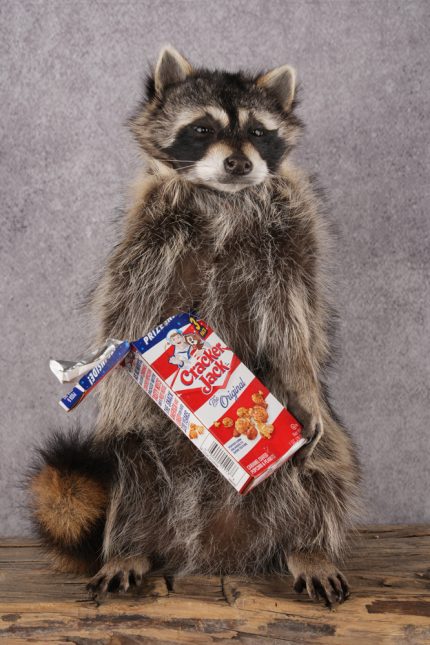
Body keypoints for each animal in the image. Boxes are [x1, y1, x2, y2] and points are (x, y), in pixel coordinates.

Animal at [28, 46, 361, 606]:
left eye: (258, 132)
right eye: (203, 129)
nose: (239, 163)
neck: (222, 195)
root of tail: (215, 547)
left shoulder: (293, 236)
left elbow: (294, 321)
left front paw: (300, 375)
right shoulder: (147, 235)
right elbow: (127, 312)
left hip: (313, 453)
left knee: (321, 469)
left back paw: (308, 546)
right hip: (138, 460)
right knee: (129, 470)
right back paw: (128, 548)